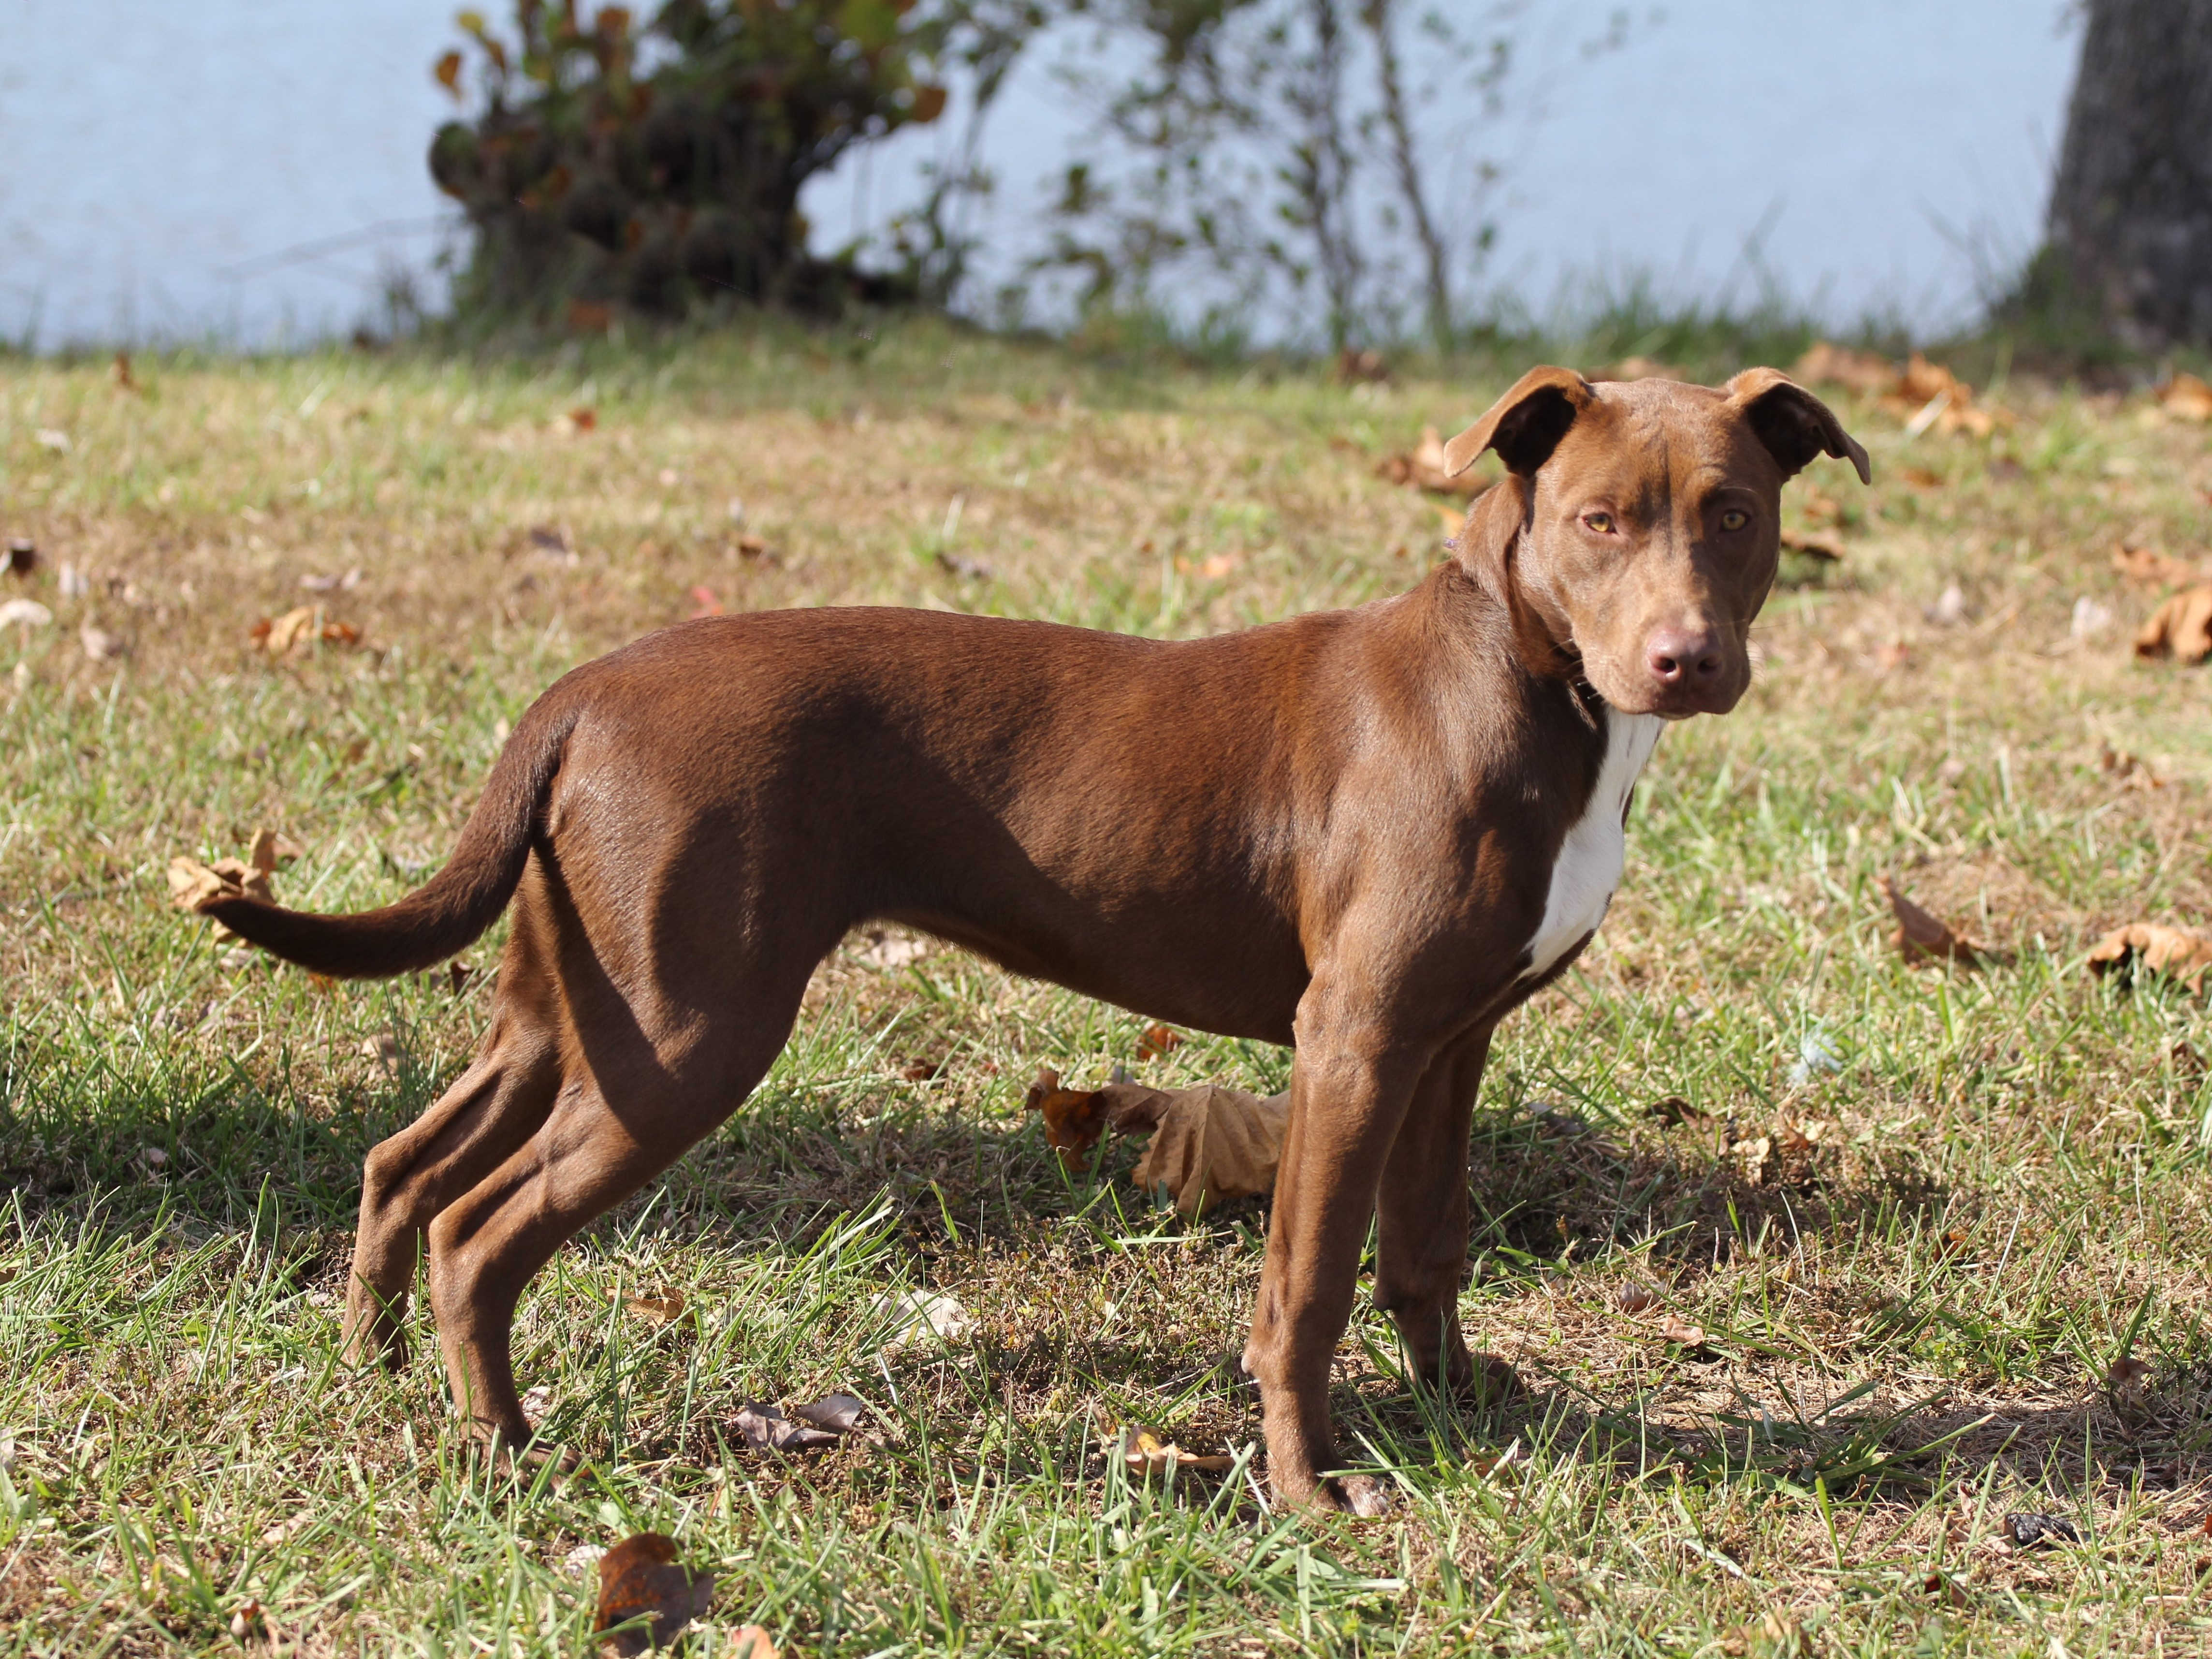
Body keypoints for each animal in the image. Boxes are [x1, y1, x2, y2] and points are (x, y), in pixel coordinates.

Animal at [203, 369, 1867, 1513]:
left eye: (1734, 515)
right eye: (1599, 523)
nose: (1686, 659)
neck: (1523, 679)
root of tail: (579, 694)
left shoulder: (1448, 1036)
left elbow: (1427, 1242)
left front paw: (1467, 1402)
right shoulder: (1353, 1040)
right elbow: (1306, 1282)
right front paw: (1310, 1489)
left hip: (576, 1004)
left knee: (407, 1162)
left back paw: (375, 1368)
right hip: (689, 1032)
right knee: (482, 1227)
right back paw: (503, 1442)